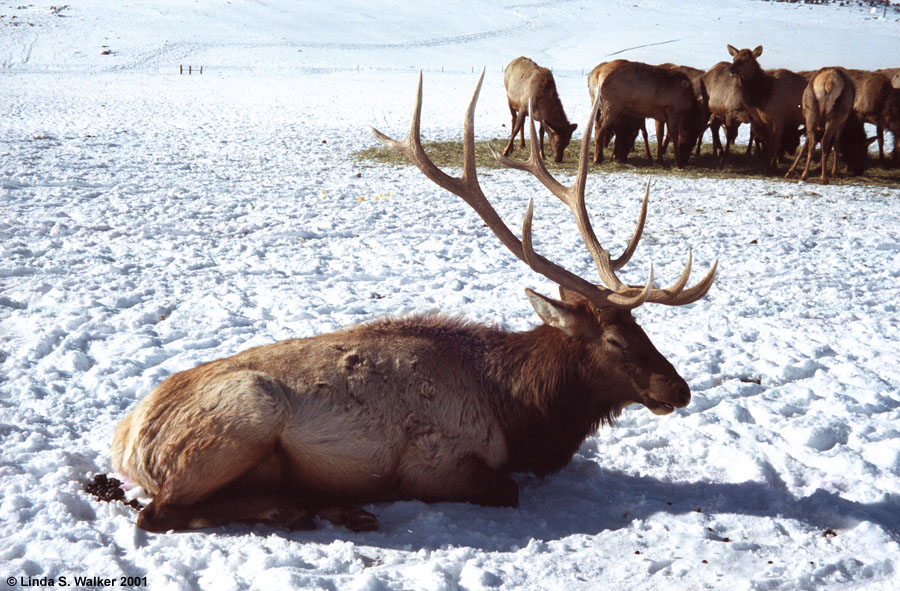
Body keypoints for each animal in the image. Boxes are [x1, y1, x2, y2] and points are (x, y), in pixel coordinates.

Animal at [110, 71, 716, 536]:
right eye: (615, 339)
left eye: (642, 327)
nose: (679, 389)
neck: (517, 410)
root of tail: (125, 444)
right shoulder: (435, 460)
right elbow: (507, 489)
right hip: (245, 419)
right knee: (156, 513)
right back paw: (316, 507)